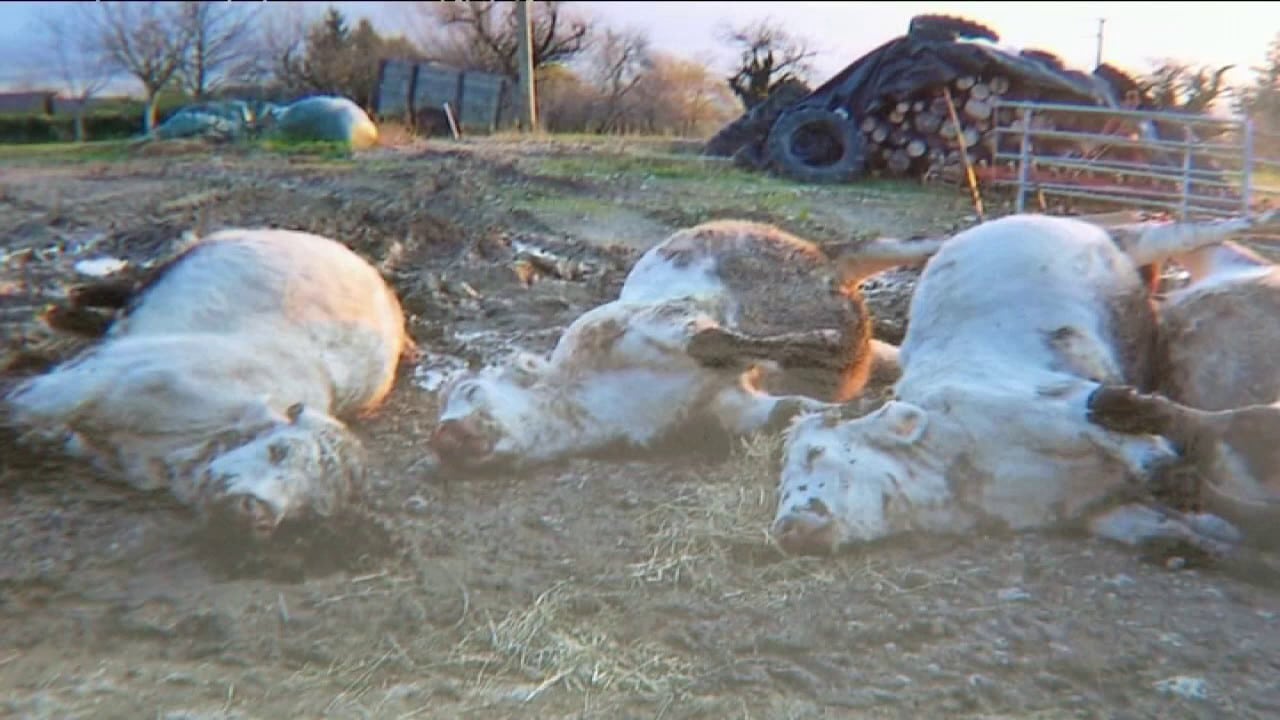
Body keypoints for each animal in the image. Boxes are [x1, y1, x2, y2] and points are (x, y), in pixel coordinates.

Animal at [432, 221, 931, 474]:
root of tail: (829, 262)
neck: (584, 395)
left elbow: (717, 340)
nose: (444, 438)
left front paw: (829, 348)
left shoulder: (665, 319)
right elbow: (785, 411)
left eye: (471, 390)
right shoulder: (727, 409)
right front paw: (846, 410)